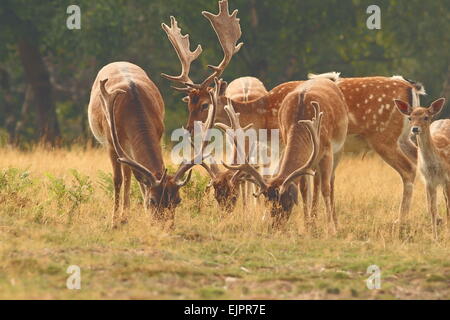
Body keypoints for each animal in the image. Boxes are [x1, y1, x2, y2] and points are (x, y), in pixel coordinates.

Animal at [88, 62, 211, 226]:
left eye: (178, 200)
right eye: (152, 200)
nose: (166, 226)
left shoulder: (159, 133)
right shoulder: (110, 143)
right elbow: (117, 179)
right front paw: (113, 222)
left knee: (129, 173)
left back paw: (125, 216)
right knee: (125, 175)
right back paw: (121, 217)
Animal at [225, 78, 348, 231]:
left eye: (287, 202)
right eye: (268, 202)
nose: (275, 226)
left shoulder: (326, 150)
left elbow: (326, 189)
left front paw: (331, 229)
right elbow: (304, 189)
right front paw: (308, 225)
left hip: (339, 148)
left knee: (330, 181)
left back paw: (335, 223)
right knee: (316, 182)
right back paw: (314, 219)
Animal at [392, 99, 448, 239]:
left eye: (426, 117)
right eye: (410, 118)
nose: (415, 129)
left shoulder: (448, 178)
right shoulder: (429, 181)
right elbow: (433, 209)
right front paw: (435, 237)